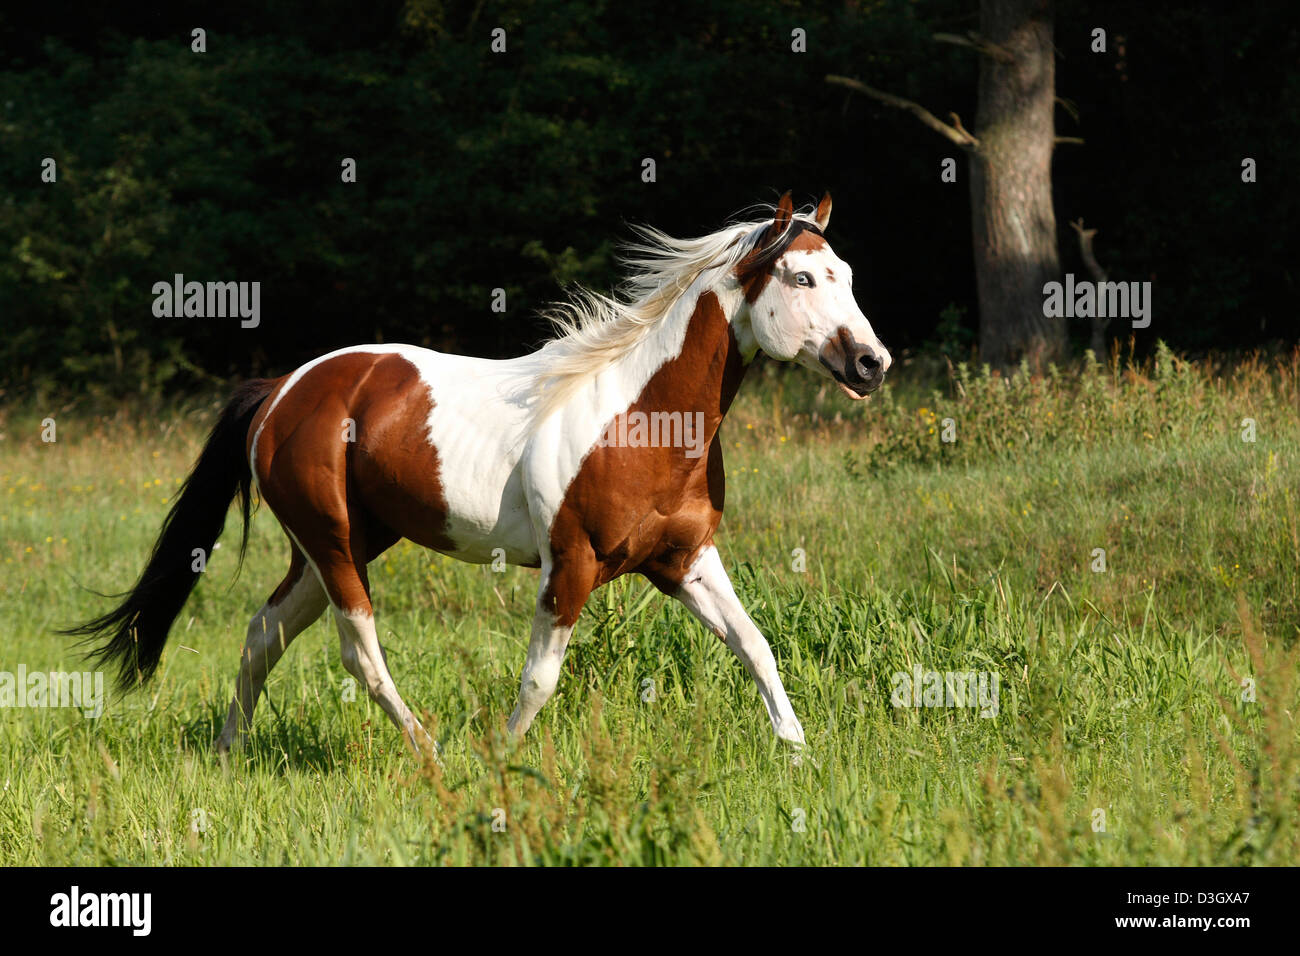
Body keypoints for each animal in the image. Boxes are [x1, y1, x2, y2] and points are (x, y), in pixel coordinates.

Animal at [67, 191, 891, 754]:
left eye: (846, 272)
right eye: (801, 278)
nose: (872, 363)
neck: (643, 416)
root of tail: (281, 391)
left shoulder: (684, 560)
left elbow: (755, 645)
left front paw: (798, 754)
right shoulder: (571, 565)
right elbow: (541, 679)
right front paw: (497, 758)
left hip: (342, 544)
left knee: (264, 631)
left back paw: (229, 752)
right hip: (332, 545)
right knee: (357, 652)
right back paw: (426, 750)